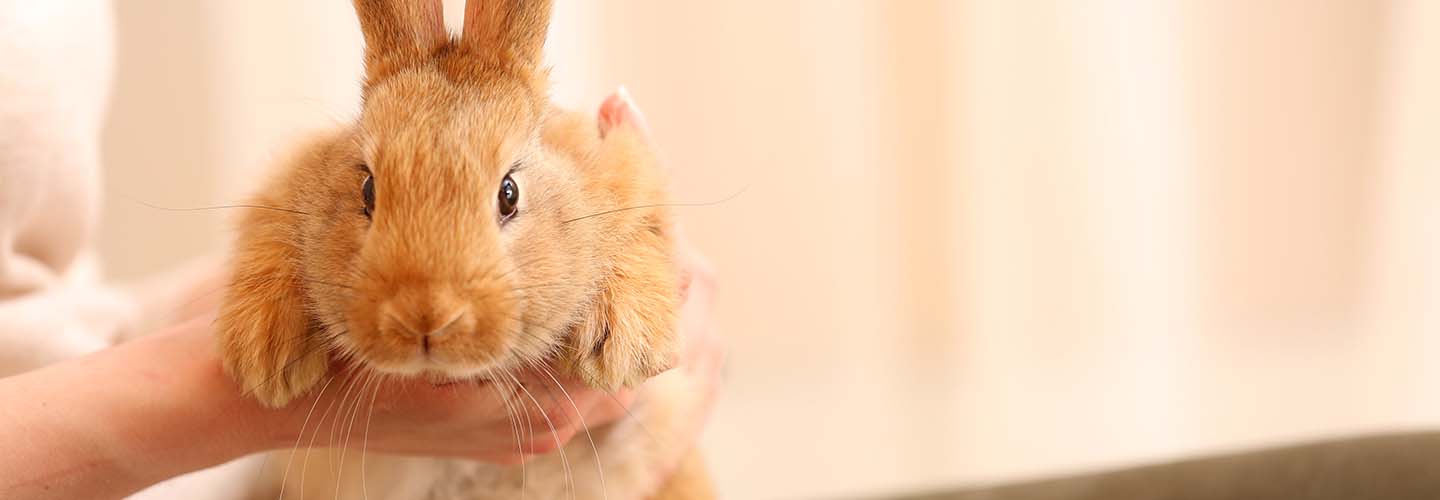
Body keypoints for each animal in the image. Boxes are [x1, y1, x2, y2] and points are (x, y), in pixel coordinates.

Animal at [216, 0, 711, 500]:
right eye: (368, 189)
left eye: (509, 193)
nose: (423, 319)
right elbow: (268, 234)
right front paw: (266, 356)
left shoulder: (630, 174)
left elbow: (643, 233)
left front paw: (620, 348)